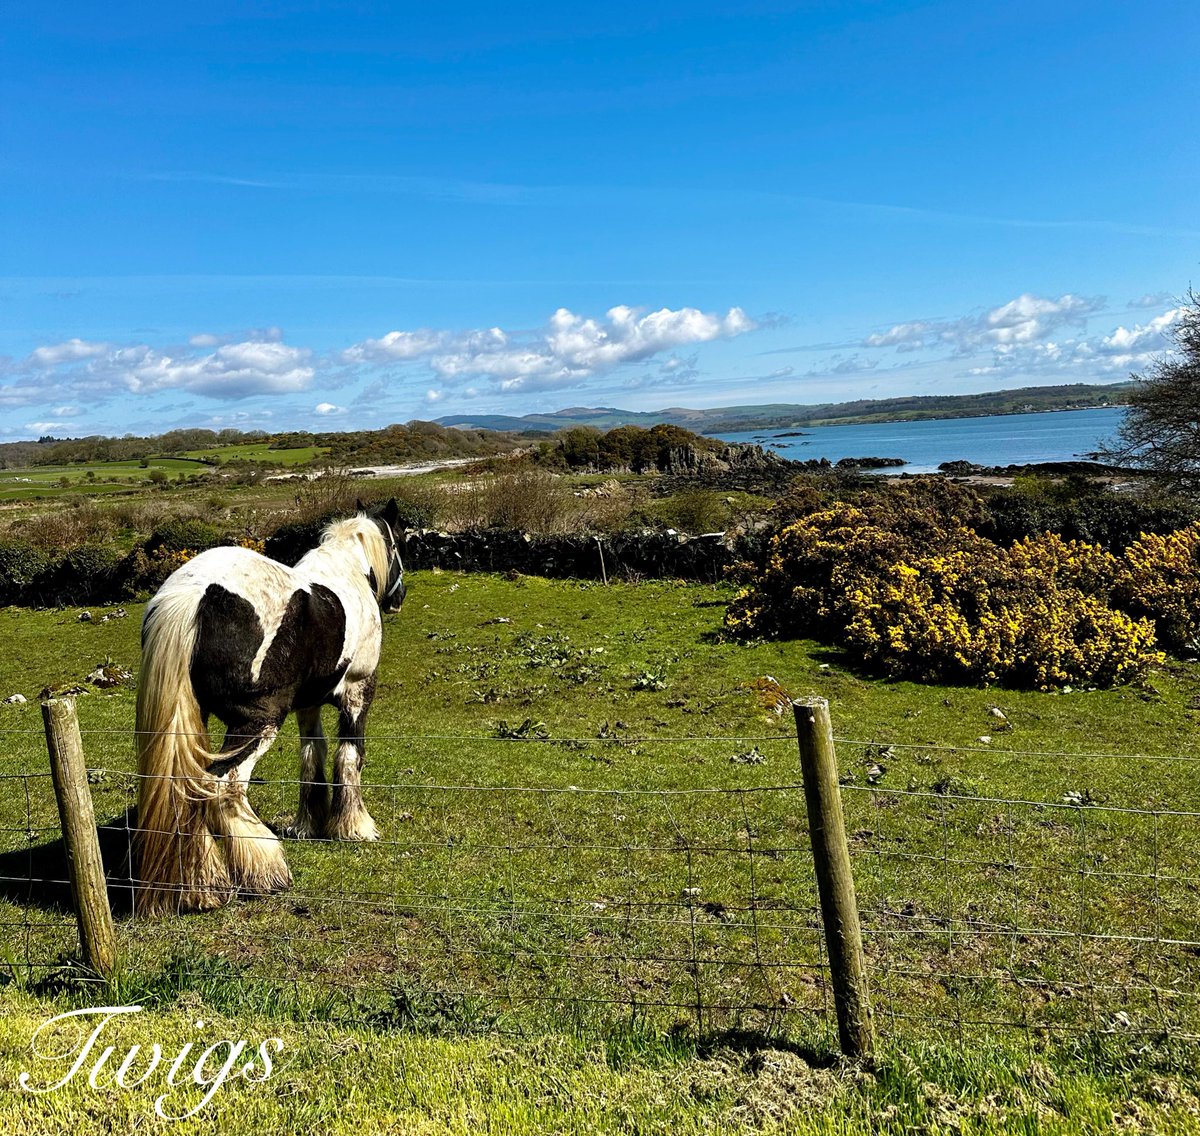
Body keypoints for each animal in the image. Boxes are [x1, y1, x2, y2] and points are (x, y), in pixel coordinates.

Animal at [135, 501, 408, 921]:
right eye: (400, 543)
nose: (400, 597)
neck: (349, 575)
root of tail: (194, 595)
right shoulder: (358, 693)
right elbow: (349, 756)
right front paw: (354, 827)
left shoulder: (307, 705)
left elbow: (312, 755)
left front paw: (308, 824)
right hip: (258, 723)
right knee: (225, 786)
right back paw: (264, 872)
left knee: (190, 788)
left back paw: (202, 888)